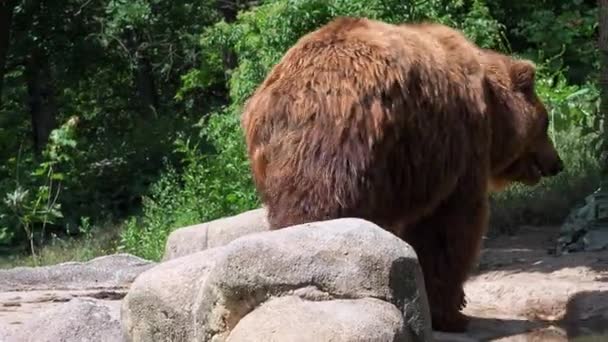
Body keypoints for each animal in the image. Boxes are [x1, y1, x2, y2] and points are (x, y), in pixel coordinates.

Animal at [240, 16, 564, 332]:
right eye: (545, 123)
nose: (557, 163)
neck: (494, 110)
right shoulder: (459, 148)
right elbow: (450, 226)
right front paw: (452, 313)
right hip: (353, 150)